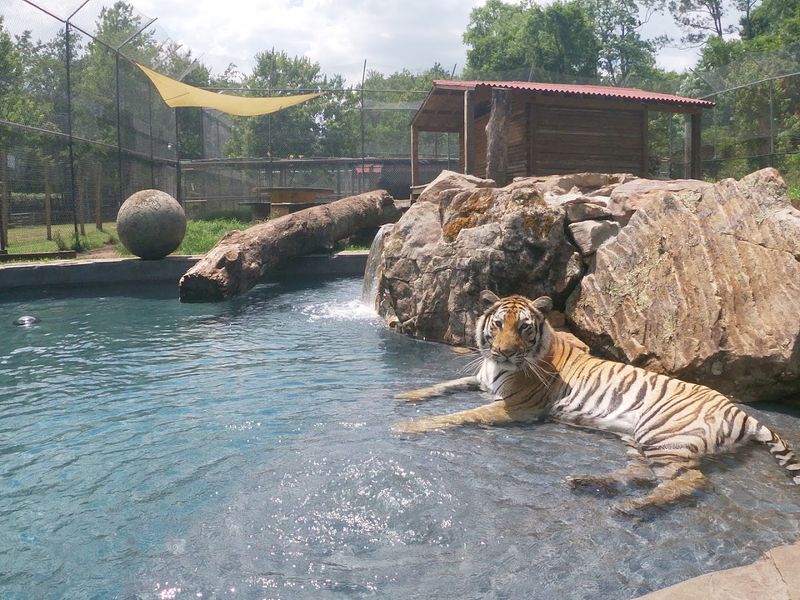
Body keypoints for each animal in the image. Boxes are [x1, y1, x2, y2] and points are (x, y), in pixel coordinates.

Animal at [395, 290, 800, 514]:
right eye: (497, 325)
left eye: (524, 327)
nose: (506, 352)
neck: (498, 367)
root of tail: (738, 409)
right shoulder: (480, 381)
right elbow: (443, 385)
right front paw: (404, 396)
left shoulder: (516, 406)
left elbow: (460, 414)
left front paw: (408, 426)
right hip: (638, 438)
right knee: (639, 474)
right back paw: (587, 483)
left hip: (661, 435)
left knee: (690, 481)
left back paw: (632, 508)